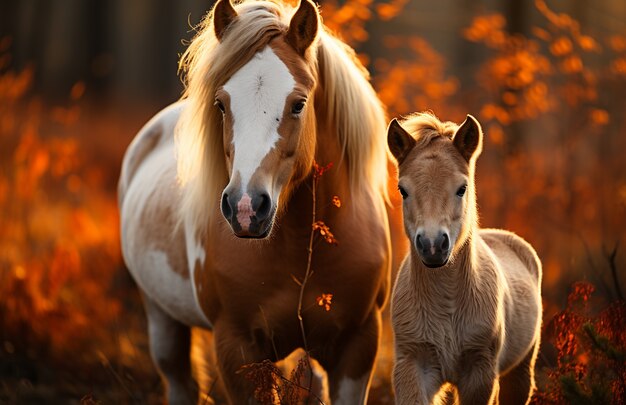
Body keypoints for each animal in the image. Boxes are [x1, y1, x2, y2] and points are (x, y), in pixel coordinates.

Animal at [118, 1, 390, 402]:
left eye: (299, 104)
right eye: (220, 103)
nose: (245, 208)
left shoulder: (357, 345)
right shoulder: (237, 347)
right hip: (162, 318)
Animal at [388, 112, 540, 402]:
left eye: (462, 188)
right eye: (403, 190)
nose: (433, 246)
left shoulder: (479, 373)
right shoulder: (413, 365)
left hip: (520, 372)